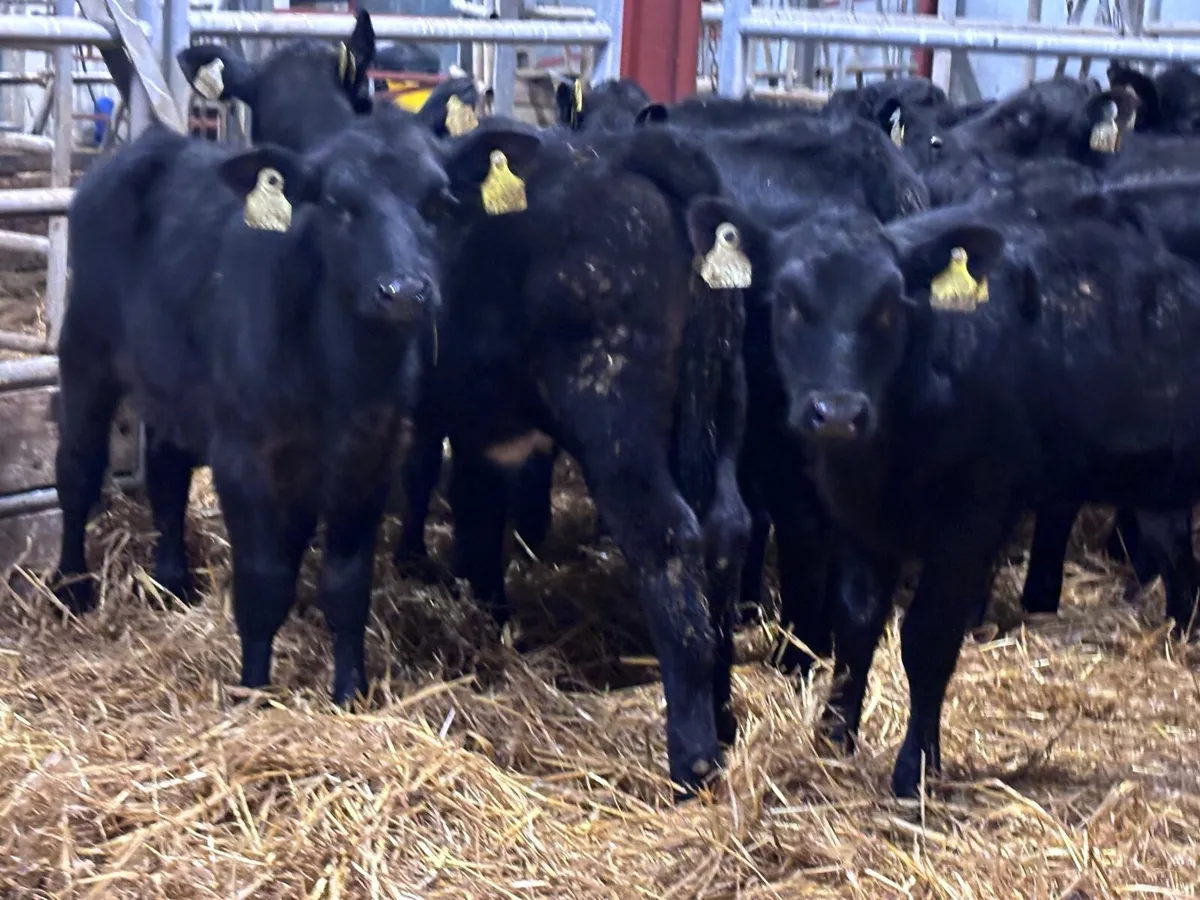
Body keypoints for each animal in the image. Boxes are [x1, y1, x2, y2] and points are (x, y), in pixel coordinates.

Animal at [51, 105, 537, 706]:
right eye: (337, 204)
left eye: (438, 203)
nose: (403, 292)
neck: (339, 374)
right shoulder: (244, 458)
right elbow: (263, 581)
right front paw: (253, 690)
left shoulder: (369, 460)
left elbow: (348, 586)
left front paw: (350, 692)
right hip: (84, 350)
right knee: (78, 470)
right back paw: (71, 587)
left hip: (171, 382)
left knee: (167, 470)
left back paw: (172, 580)